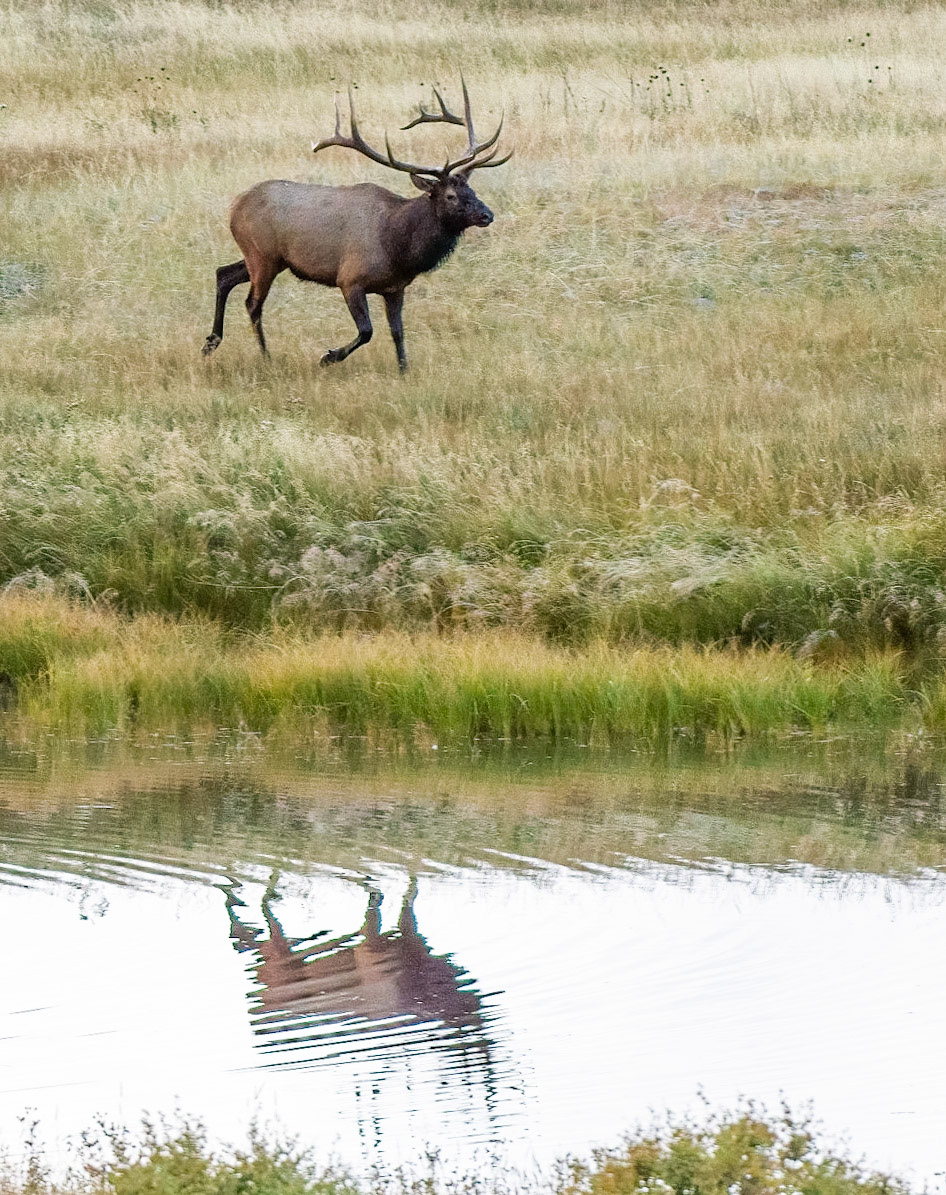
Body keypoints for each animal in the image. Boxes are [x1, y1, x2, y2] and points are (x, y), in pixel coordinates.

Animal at [201, 81, 511, 372]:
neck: (398, 247)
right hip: (262, 256)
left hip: (269, 259)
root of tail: (234, 207)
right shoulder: (350, 279)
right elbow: (367, 331)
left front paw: (404, 371)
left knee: (224, 274)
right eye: (450, 195)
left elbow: (398, 332)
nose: (487, 215)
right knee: (253, 303)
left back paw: (211, 342)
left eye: (471, 189)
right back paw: (266, 357)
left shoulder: (395, 288)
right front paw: (328, 357)